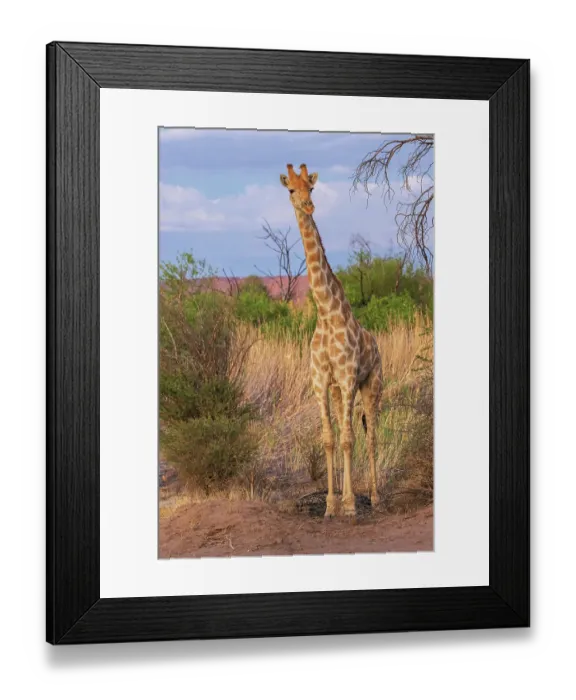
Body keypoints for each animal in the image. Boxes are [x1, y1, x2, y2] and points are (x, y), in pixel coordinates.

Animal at [280, 164, 384, 519]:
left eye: (311, 188)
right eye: (291, 190)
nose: (308, 206)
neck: (325, 313)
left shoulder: (349, 376)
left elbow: (350, 439)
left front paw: (350, 505)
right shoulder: (321, 380)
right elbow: (328, 438)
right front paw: (330, 503)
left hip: (371, 384)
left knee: (370, 435)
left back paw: (375, 497)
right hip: (340, 391)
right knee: (343, 430)